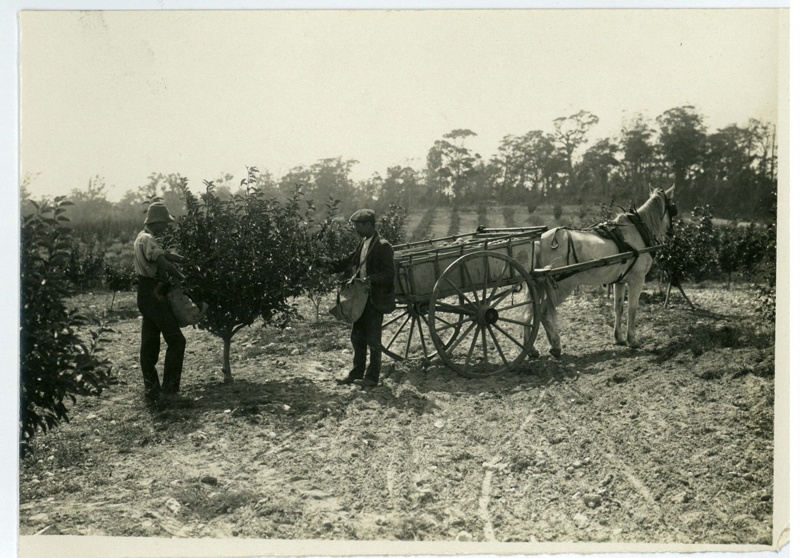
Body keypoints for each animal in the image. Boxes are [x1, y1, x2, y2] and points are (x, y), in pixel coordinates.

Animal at [524, 186, 676, 356]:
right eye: (673, 208)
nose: (671, 233)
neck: (637, 231)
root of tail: (541, 241)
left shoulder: (620, 281)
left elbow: (618, 308)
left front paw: (619, 338)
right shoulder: (637, 280)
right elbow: (632, 309)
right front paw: (632, 340)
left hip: (539, 285)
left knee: (530, 314)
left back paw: (532, 349)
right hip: (562, 287)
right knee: (543, 313)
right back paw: (555, 344)